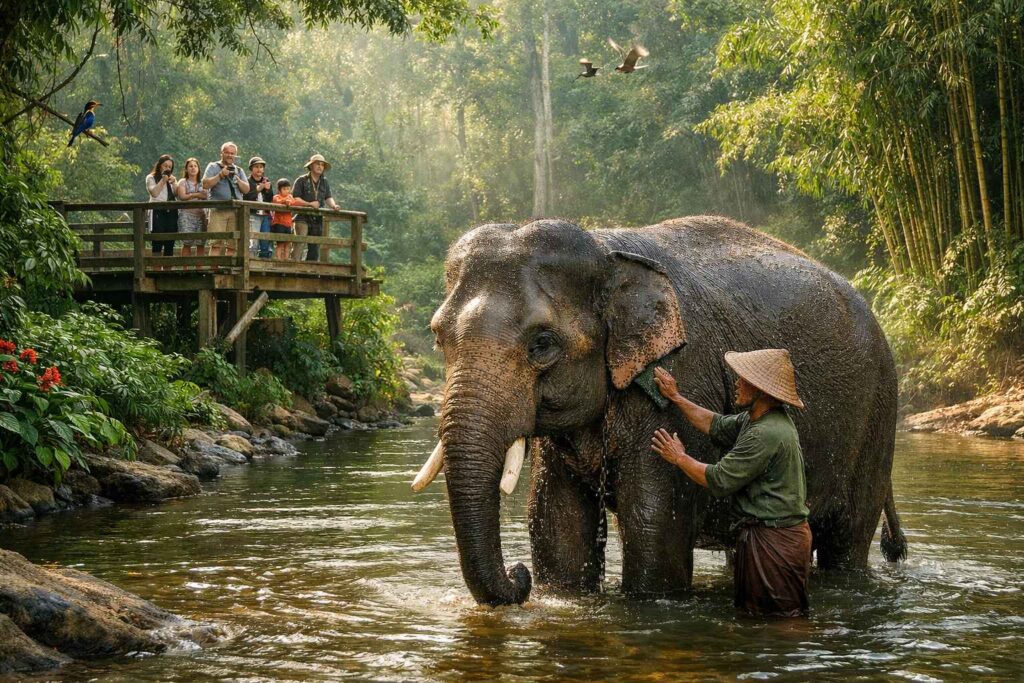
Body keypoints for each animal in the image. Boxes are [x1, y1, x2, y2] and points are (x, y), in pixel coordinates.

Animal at [414, 216, 907, 606]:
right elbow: (557, 529)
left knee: (846, 541)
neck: (605, 249)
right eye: (438, 336)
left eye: (542, 343)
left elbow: (653, 529)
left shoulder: (679, 375)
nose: (519, 577)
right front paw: (559, 592)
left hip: (878, 414)